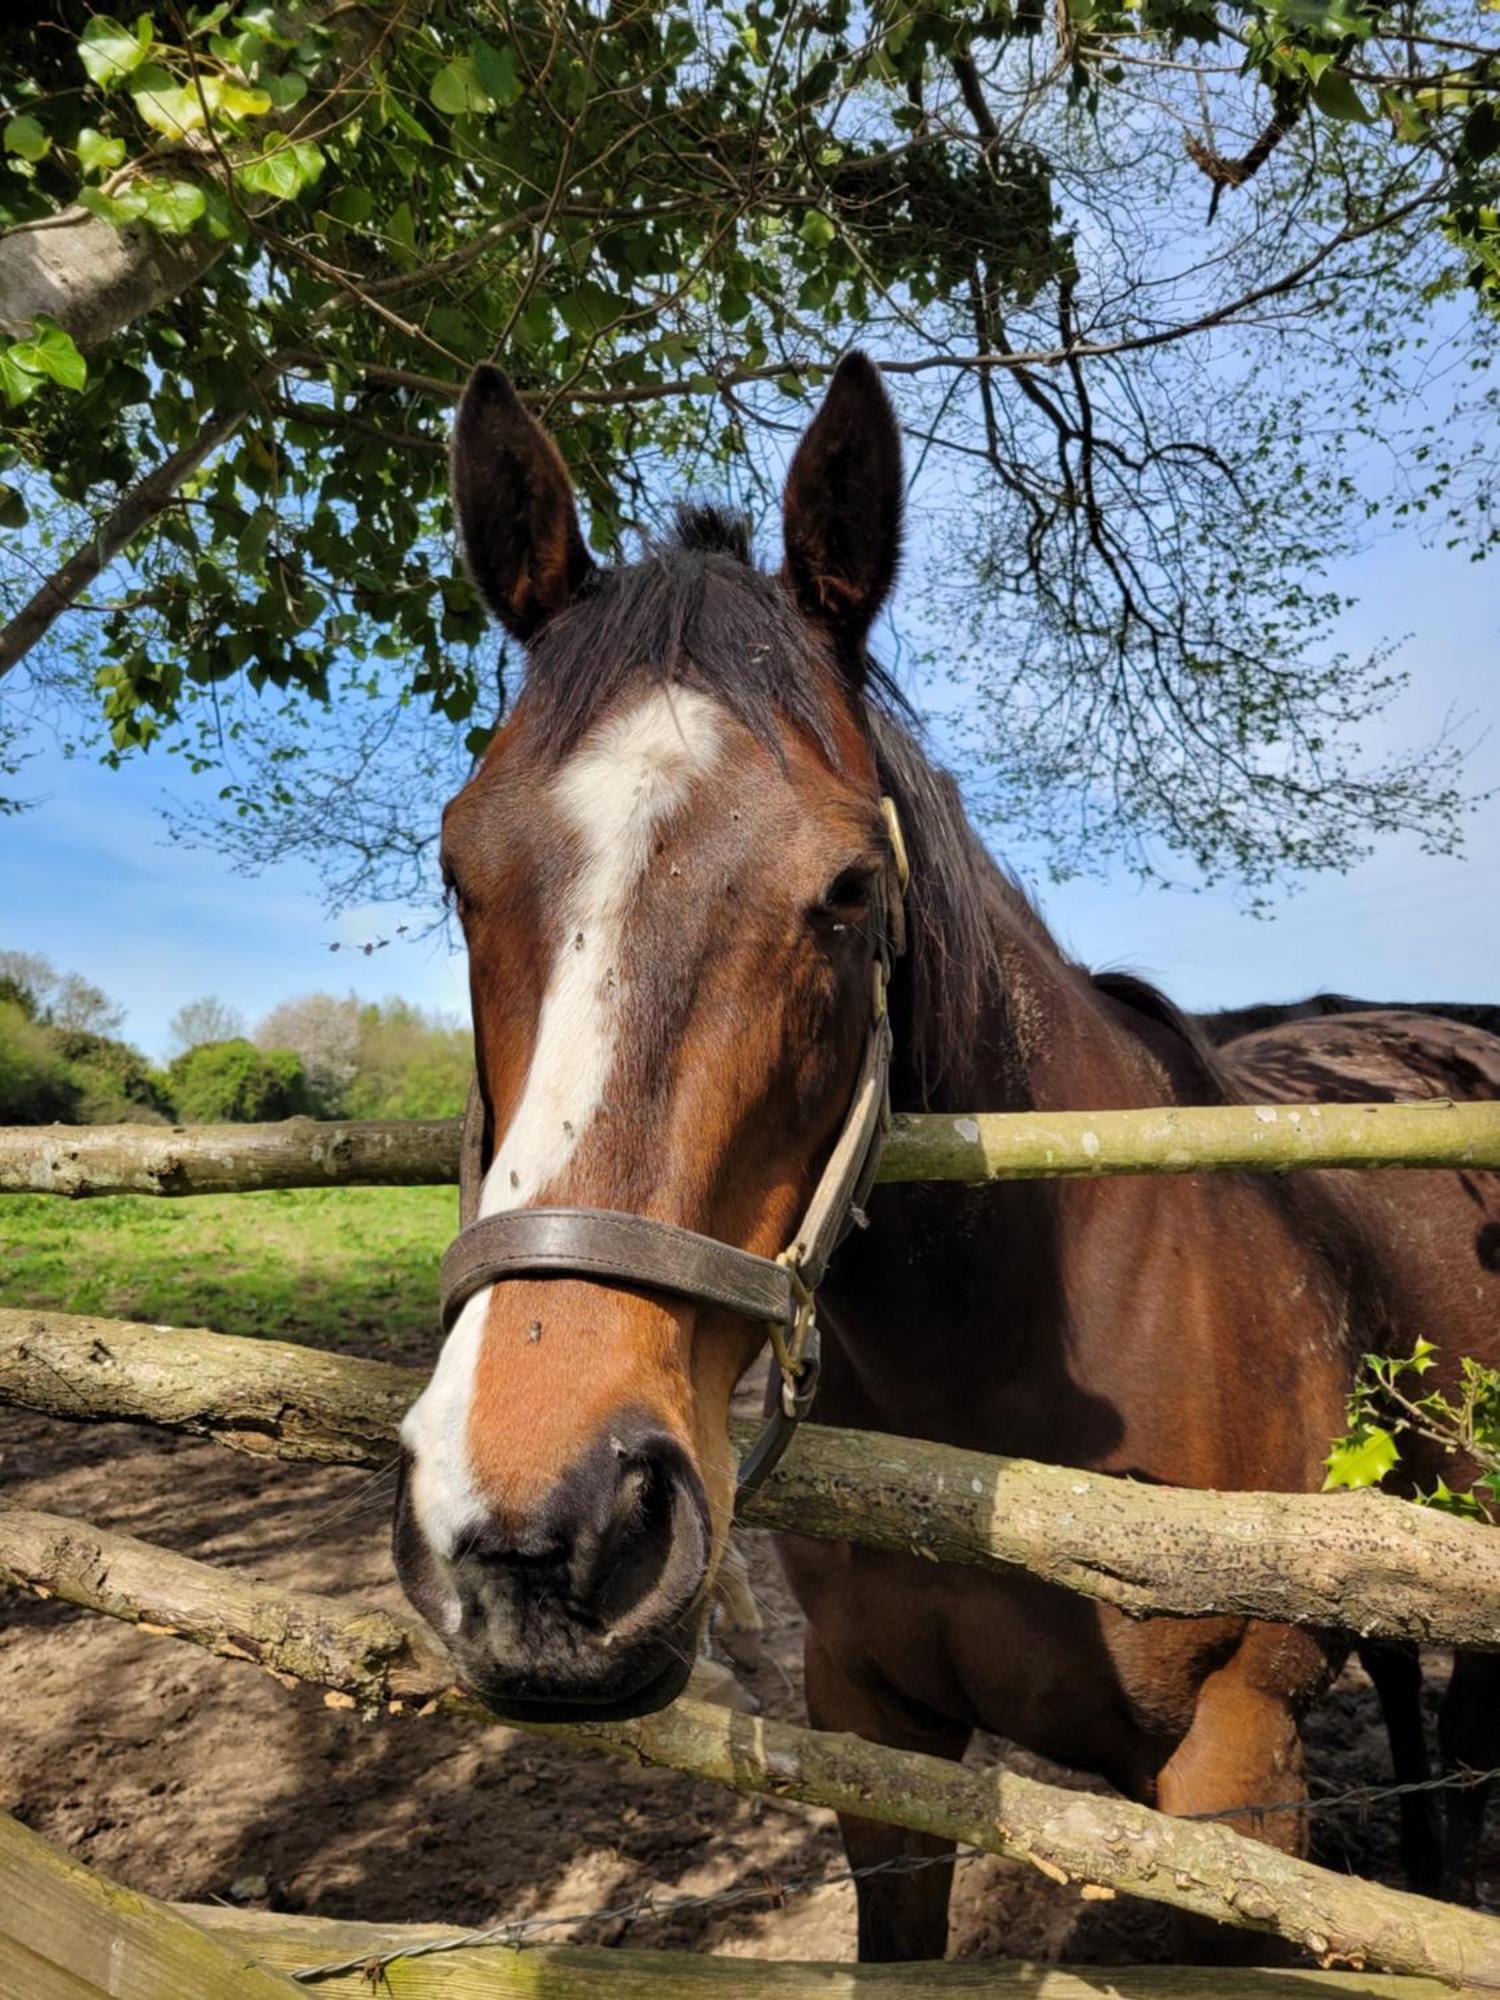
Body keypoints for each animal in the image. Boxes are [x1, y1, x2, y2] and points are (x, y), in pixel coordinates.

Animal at [396, 348, 1500, 1952]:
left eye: (851, 887)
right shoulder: (877, 1733)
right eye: (458, 869)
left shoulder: (1237, 1777)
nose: (544, 1537)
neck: (1004, 1360)